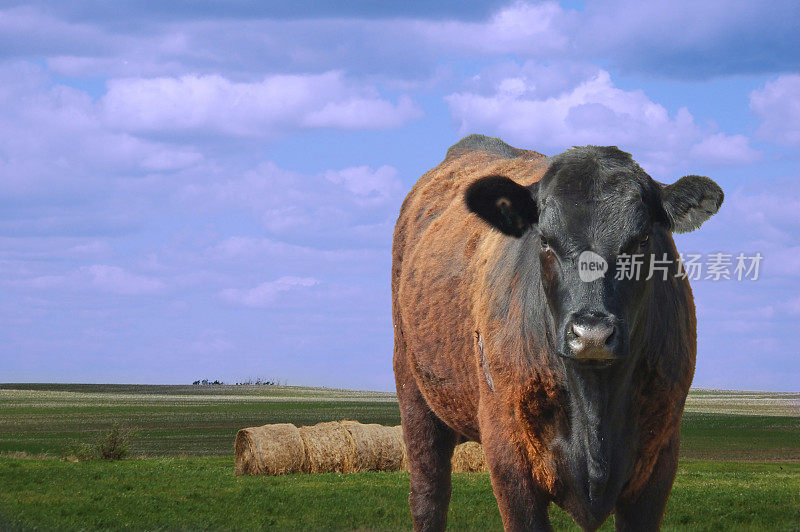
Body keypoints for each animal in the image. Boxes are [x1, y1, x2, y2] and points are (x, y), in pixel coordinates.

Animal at [394, 135, 724, 528]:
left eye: (642, 239)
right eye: (545, 239)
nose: (592, 334)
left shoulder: (659, 458)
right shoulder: (508, 451)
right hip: (414, 393)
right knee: (428, 496)